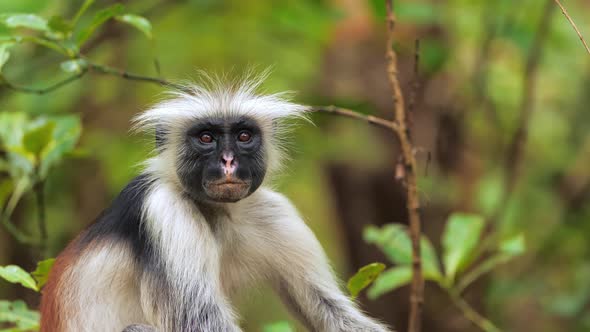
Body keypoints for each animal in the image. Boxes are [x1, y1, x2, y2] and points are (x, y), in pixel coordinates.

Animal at [40, 76, 394, 332]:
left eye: (243, 136)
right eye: (206, 138)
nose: (228, 162)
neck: (218, 213)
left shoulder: (275, 213)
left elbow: (326, 308)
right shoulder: (164, 211)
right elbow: (199, 321)